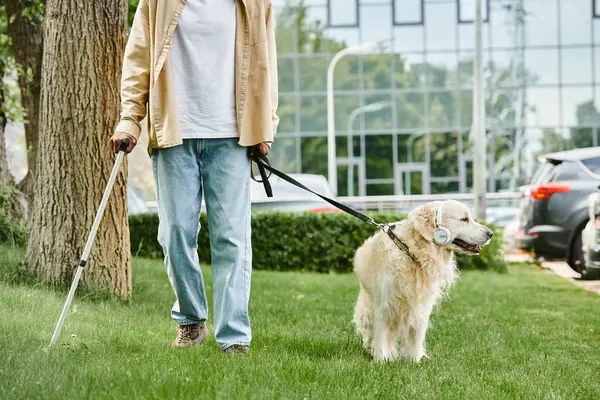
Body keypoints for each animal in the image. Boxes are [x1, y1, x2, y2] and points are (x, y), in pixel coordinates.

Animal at [352, 200, 492, 362]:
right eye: (464, 219)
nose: (491, 234)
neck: (412, 250)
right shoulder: (385, 304)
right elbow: (382, 334)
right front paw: (383, 359)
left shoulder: (421, 305)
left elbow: (416, 334)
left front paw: (414, 360)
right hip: (367, 307)